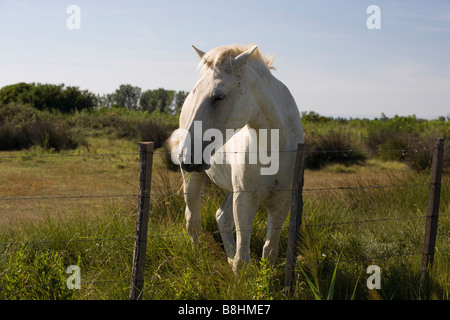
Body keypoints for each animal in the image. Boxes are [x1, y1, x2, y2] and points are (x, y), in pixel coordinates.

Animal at [170, 43, 306, 274]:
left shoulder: (281, 203)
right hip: (193, 179)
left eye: (219, 96)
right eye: (196, 92)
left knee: (221, 218)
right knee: (192, 221)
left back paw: (228, 258)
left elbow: (269, 252)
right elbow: (243, 258)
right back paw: (199, 261)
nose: (186, 157)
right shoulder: (244, 200)